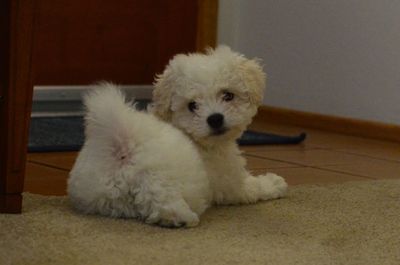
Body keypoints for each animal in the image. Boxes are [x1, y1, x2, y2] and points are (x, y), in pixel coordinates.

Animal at [151, 46, 288, 204]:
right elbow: (250, 187)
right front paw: (273, 183)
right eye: (192, 105)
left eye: (228, 95)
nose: (215, 119)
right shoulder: (227, 181)